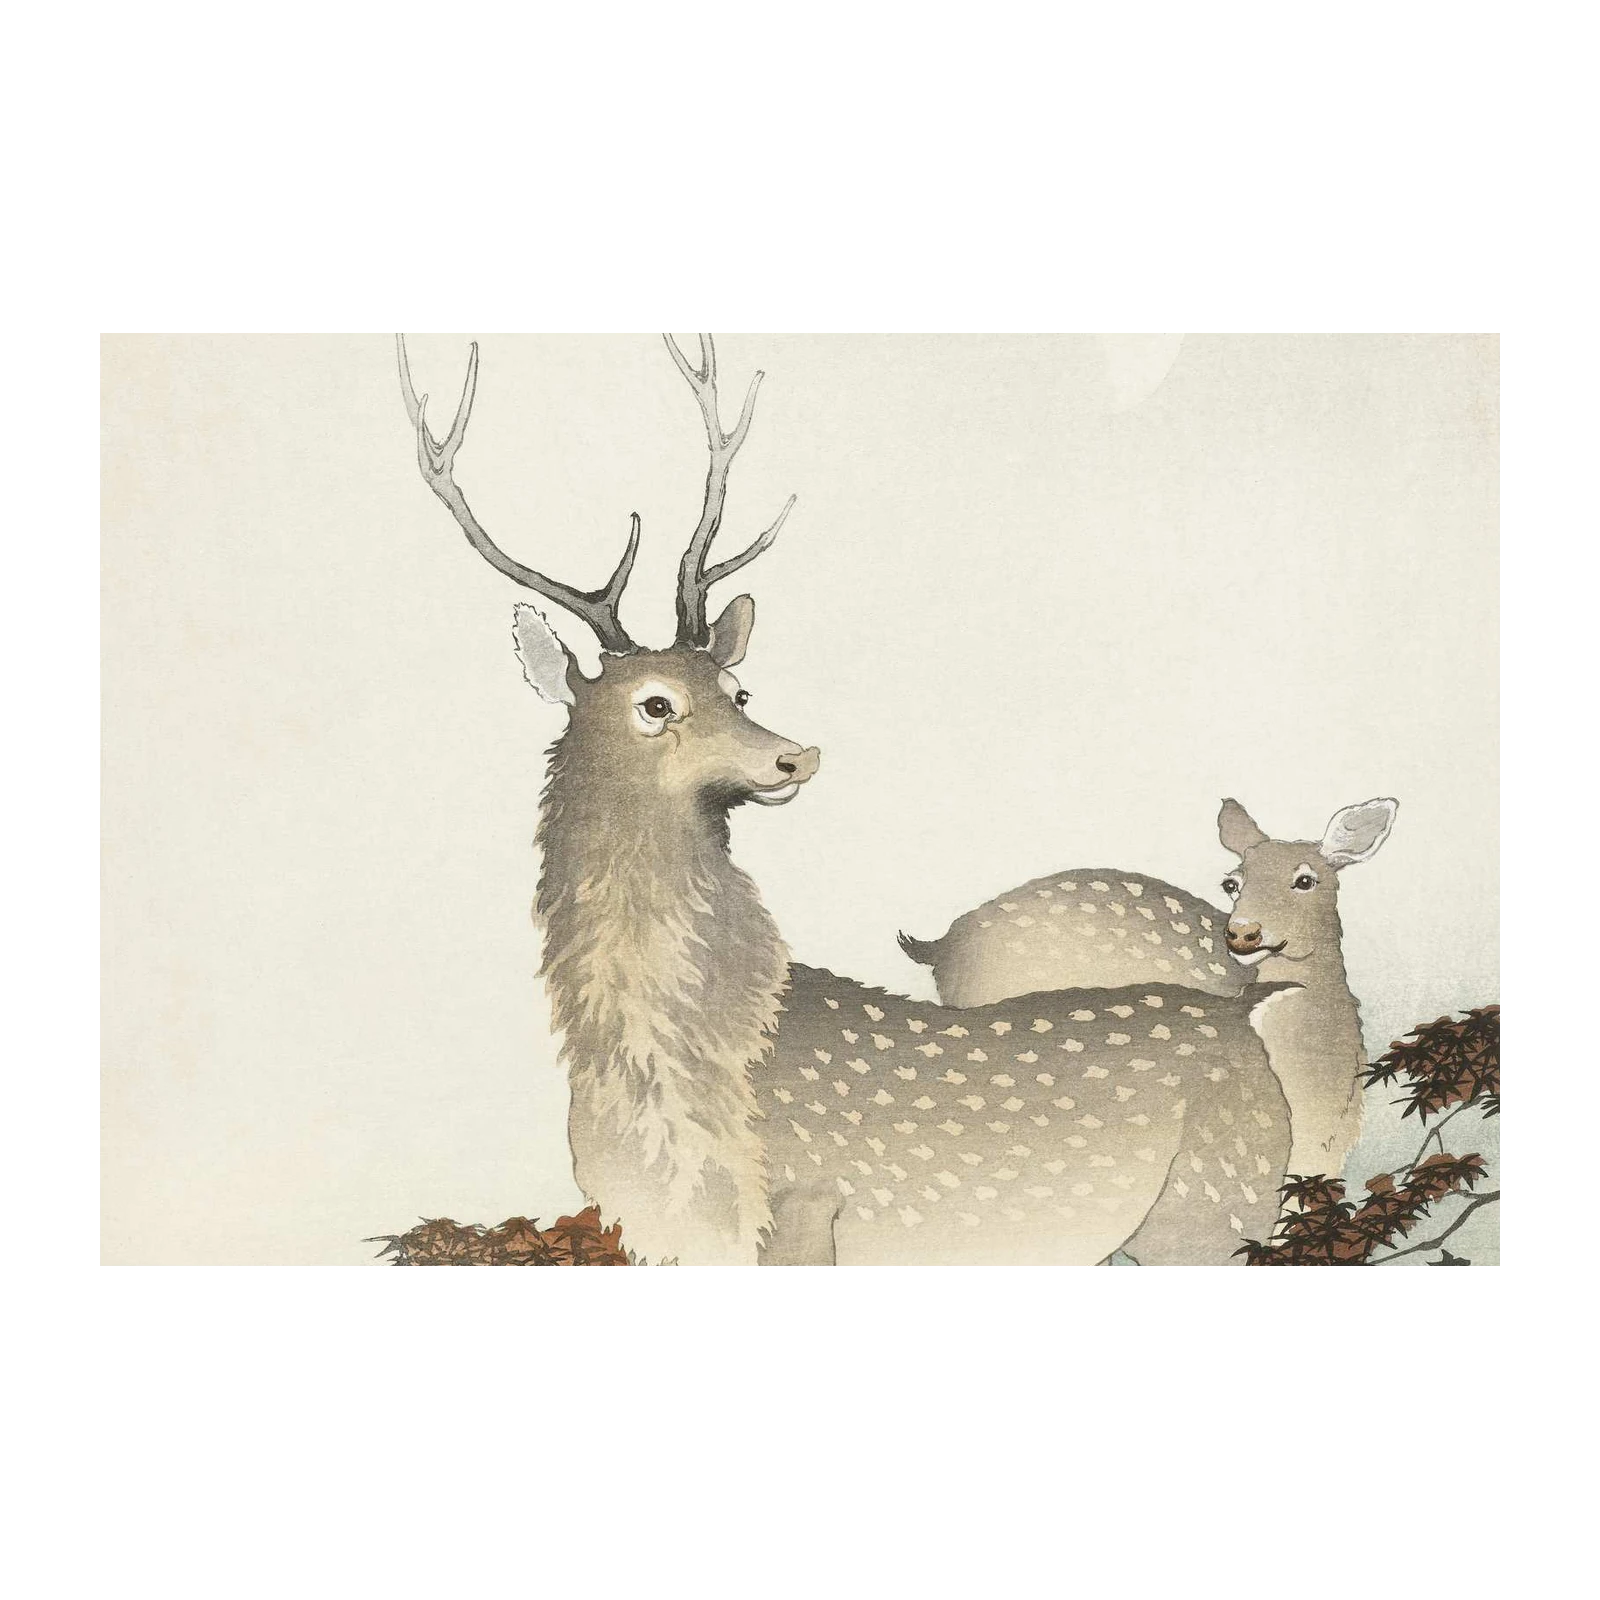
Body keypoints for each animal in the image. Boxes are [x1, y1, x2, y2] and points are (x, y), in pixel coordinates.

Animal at [396, 328, 1298, 1270]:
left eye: (739, 689)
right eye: (655, 704)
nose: (796, 756)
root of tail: (1247, 1020)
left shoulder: (803, 1200)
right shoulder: (649, 1226)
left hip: (1214, 1204)